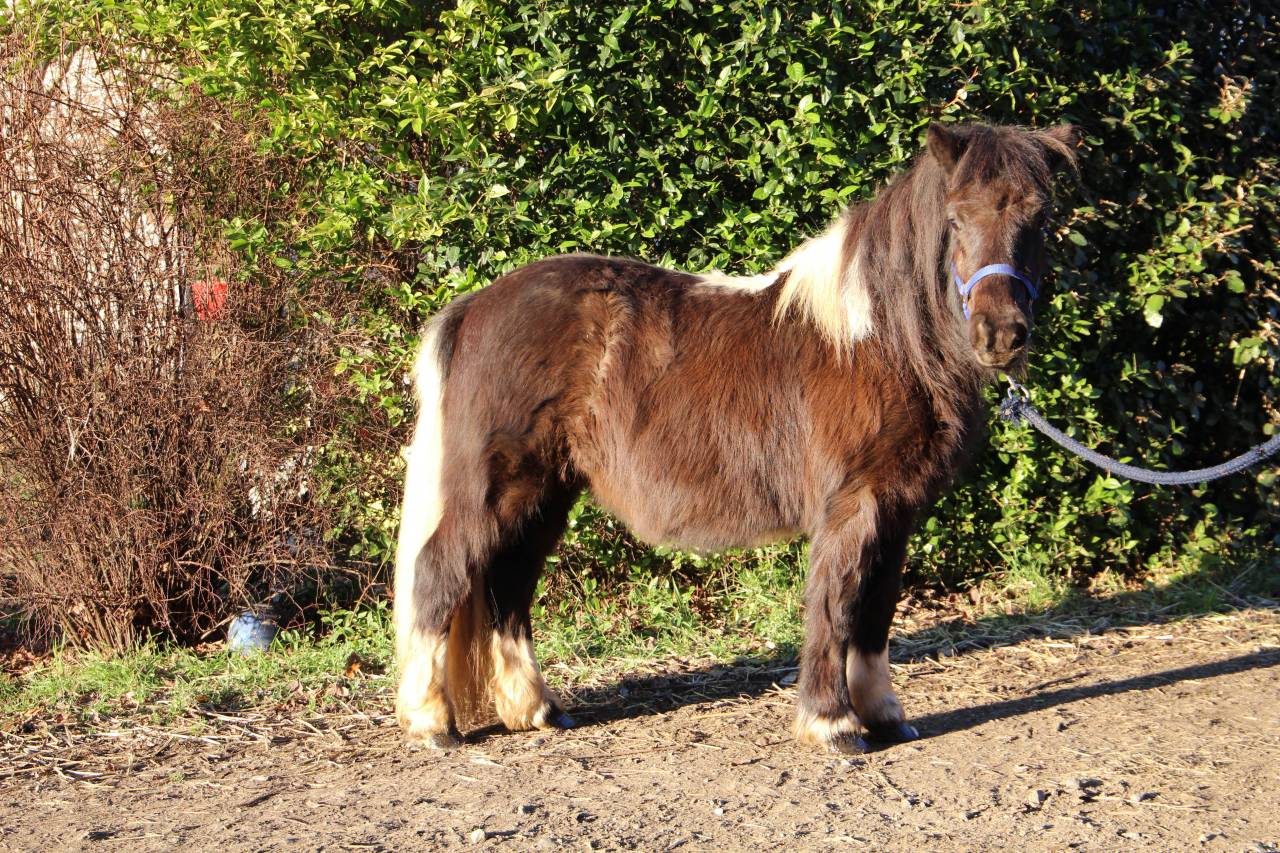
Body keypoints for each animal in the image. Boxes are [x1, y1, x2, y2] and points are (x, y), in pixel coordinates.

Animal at [394, 122, 1077, 754]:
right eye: (956, 219)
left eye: (1040, 218)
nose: (1001, 335)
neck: (877, 341)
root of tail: (473, 308)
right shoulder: (851, 506)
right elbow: (834, 606)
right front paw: (832, 724)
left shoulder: (897, 508)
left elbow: (875, 613)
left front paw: (884, 716)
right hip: (497, 488)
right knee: (438, 572)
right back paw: (431, 722)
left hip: (542, 495)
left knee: (508, 586)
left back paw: (536, 710)